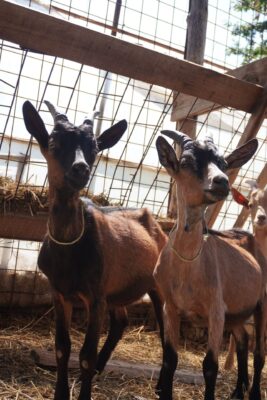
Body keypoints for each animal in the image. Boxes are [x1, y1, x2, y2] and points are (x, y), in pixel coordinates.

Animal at [22, 101, 168, 400]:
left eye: (94, 148)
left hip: (159, 287)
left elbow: (85, 355)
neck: (69, 248)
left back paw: (162, 385)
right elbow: (62, 348)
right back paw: (101, 369)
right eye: (53, 142)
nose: (80, 168)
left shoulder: (95, 297)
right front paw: (61, 393)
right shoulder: (60, 293)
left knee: (168, 334)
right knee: (121, 322)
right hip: (117, 290)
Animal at [154, 129, 266, 400]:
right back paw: (237, 391)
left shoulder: (216, 310)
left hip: (262, 303)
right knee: (243, 341)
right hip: (236, 312)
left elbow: (210, 366)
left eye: (224, 164)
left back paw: (254, 393)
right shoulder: (170, 307)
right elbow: (170, 359)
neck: (187, 269)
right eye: (186, 161)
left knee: (259, 353)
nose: (222, 181)